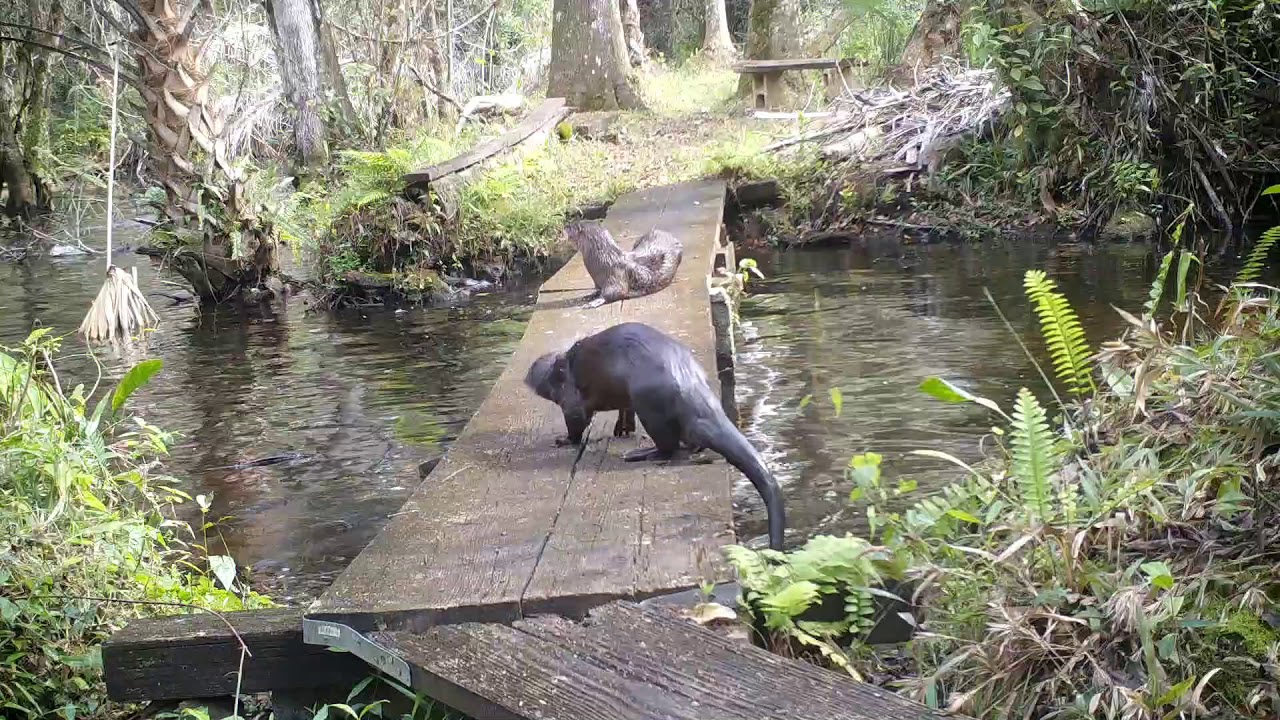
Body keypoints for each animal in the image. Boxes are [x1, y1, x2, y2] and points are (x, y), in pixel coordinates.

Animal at [524, 322, 785, 551]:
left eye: (541, 369)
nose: (530, 373)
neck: (565, 368)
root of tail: (688, 382)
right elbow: (624, 411)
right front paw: (621, 429)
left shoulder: (570, 399)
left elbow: (576, 421)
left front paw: (564, 440)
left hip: (647, 401)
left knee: (668, 446)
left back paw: (642, 454)